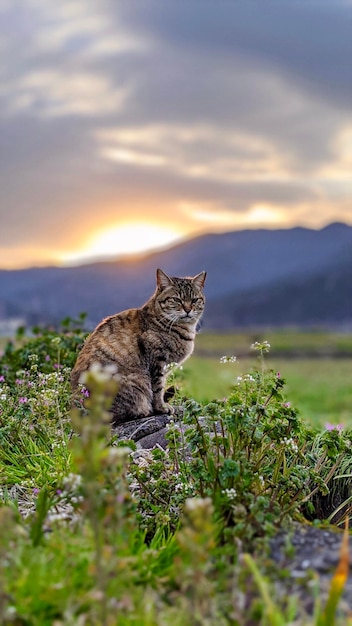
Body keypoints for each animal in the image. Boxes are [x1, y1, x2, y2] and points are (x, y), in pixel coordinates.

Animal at [71, 268, 206, 424]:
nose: (188, 309)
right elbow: (158, 388)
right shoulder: (157, 361)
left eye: (194, 300)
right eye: (177, 299)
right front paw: (161, 407)